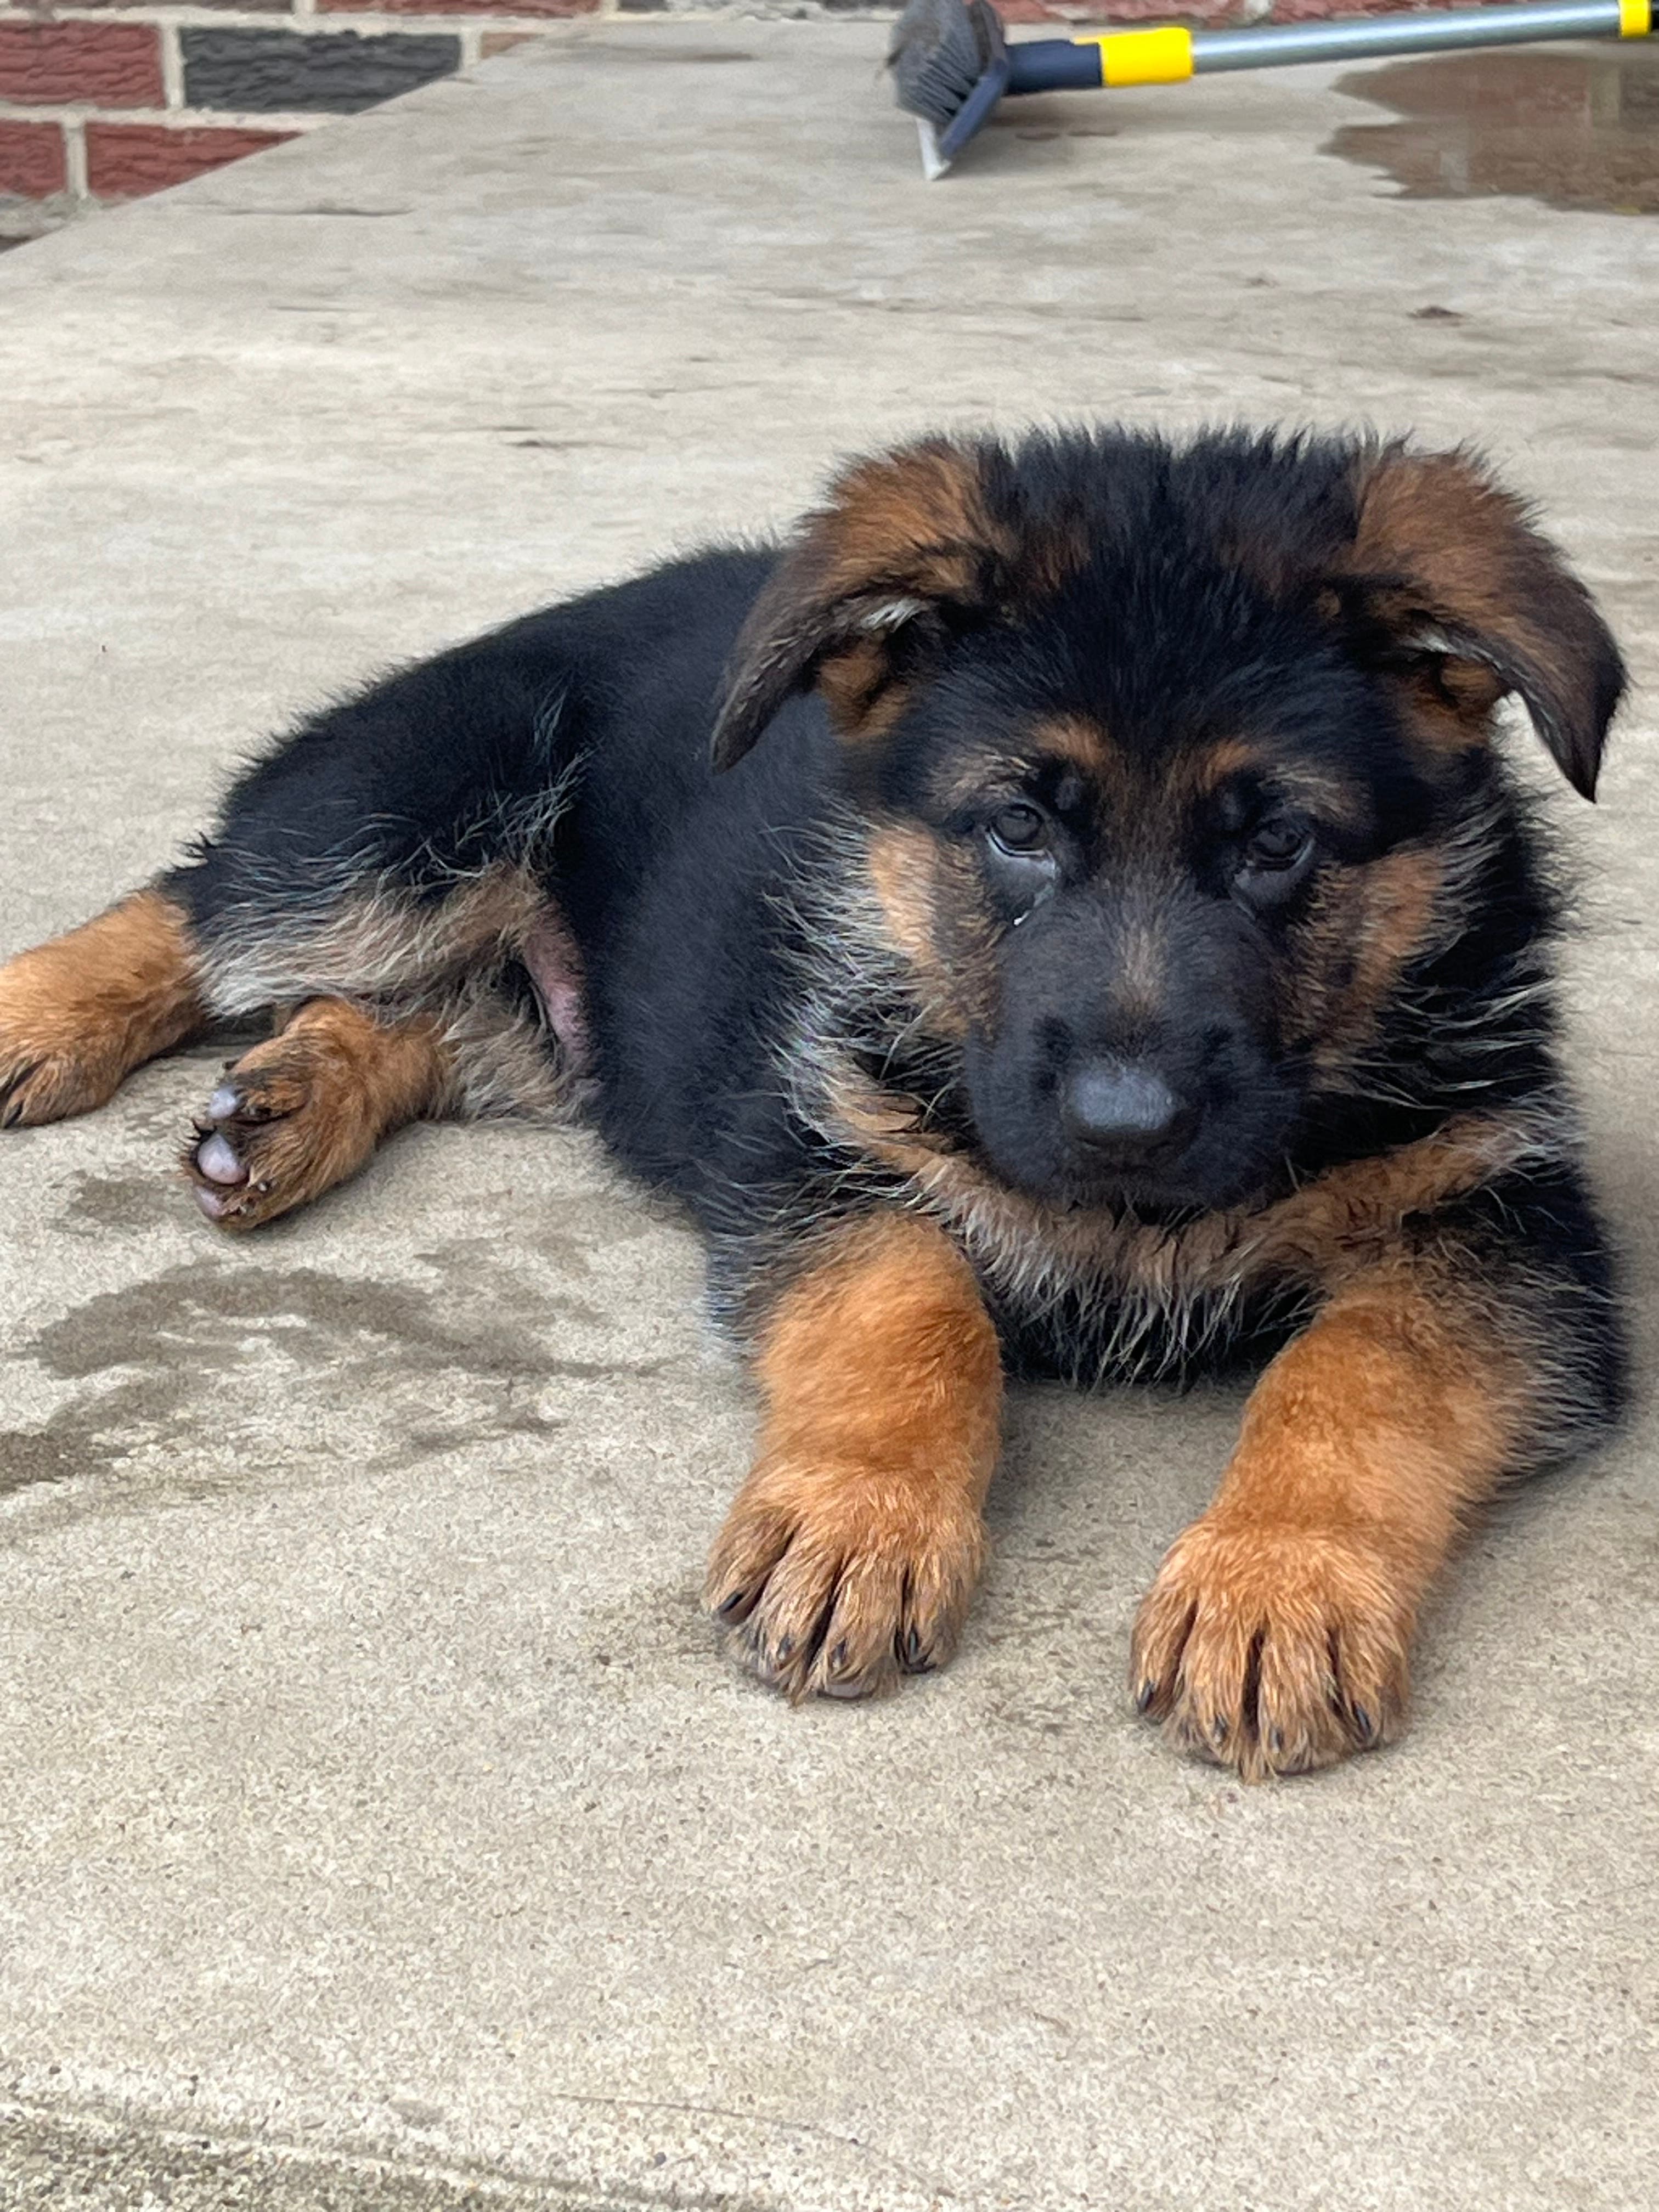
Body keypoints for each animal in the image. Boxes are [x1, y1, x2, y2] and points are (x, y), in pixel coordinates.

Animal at [3, 427, 1637, 1778]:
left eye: (1278, 841)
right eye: (1018, 826)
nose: (1124, 1129)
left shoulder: (1504, 1224)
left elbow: (1357, 1374)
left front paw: (1278, 1584)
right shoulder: (815, 1143)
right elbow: (911, 1307)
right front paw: (858, 1518)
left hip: (548, 1020)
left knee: (413, 1014)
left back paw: (282, 1104)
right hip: (411, 811)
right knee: (213, 901)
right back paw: (48, 1013)